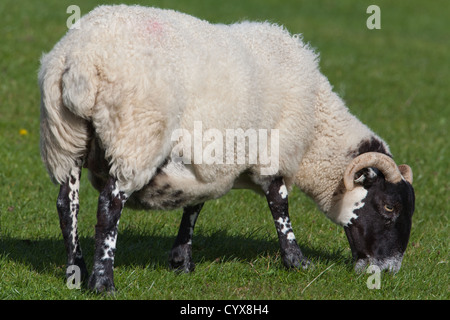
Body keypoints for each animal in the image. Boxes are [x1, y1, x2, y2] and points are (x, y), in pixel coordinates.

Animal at [38, 3, 414, 292]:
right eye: (390, 207)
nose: (390, 271)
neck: (316, 133)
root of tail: (80, 60)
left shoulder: (210, 161)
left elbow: (194, 205)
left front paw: (182, 261)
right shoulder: (273, 150)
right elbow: (279, 204)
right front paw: (297, 261)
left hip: (65, 137)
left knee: (66, 204)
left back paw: (77, 270)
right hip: (135, 136)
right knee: (109, 206)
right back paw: (103, 282)